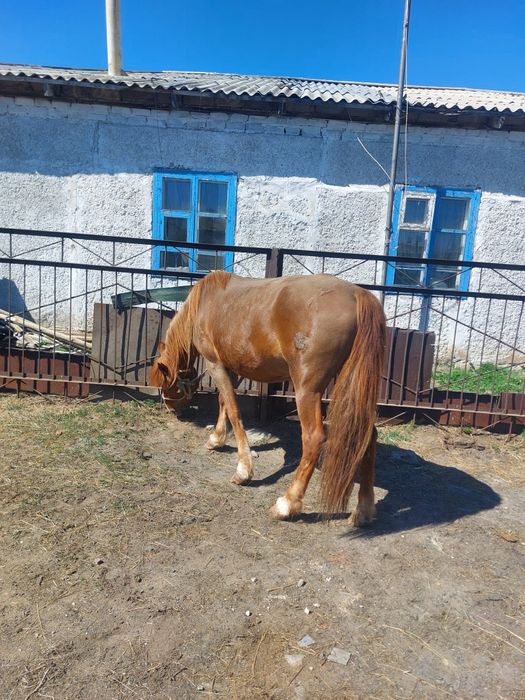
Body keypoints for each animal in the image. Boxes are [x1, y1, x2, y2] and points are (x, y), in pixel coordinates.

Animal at [150, 270, 386, 525]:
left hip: (307, 391)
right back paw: (364, 509)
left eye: (165, 385)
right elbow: (225, 403)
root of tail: (358, 294)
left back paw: (287, 504)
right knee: (368, 434)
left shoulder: (215, 364)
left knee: (313, 438)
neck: (205, 301)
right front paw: (217, 438)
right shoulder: (232, 368)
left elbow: (233, 410)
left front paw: (243, 470)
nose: (173, 410)